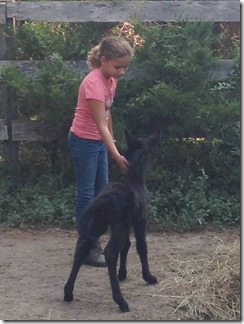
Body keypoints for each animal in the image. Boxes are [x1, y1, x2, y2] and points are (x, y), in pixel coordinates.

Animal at [63, 130, 161, 312]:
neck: (134, 176)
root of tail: (104, 200)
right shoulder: (141, 220)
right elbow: (141, 247)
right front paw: (149, 277)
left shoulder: (125, 225)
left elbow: (127, 246)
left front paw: (122, 273)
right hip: (117, 226)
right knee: (110, 252)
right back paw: (121, 301)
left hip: (97, 225)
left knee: (81, 250)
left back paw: (68, 292)